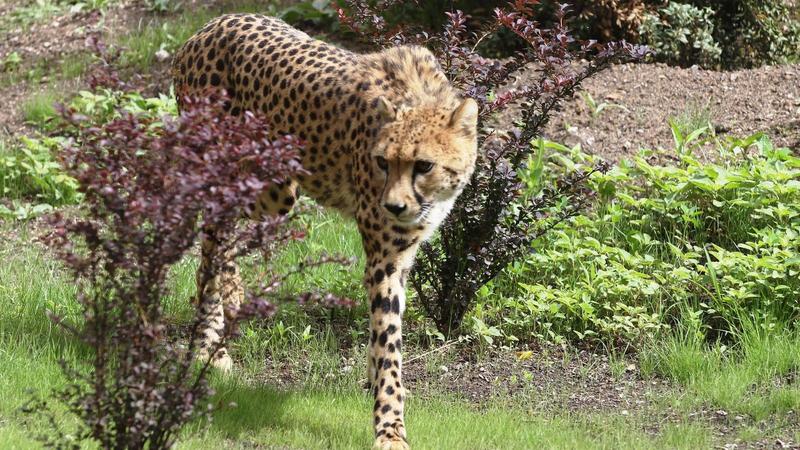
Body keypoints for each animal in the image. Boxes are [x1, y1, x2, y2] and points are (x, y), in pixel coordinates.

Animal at [173, 14, 478, 450]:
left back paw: (231, 292)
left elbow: (384, 331)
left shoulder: (402, 254)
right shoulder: (385, 258)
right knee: (212, 237)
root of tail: (212, 24)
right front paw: (390, 427)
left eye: (423, 165)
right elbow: (390, 344)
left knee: (219, 237)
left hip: (275, 189)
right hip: (240, 173)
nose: (393, 206)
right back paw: (209, 345)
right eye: (383, 162)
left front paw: (372, 380)